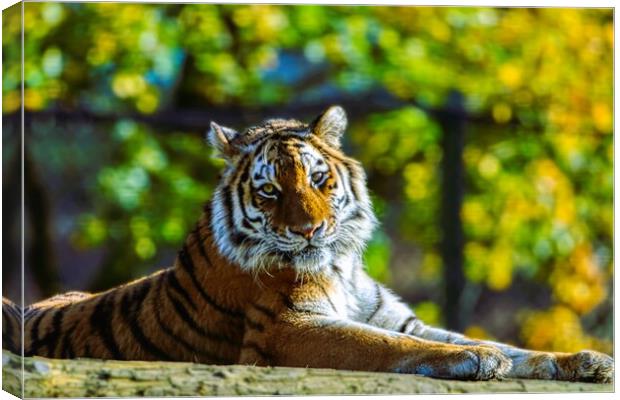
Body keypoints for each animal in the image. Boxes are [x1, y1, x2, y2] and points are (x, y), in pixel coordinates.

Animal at [1, 105, 616, 382]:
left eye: (320, 180)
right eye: (271, 191)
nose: (309, 231)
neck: (339, 265)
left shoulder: (396, 317)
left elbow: (505, 345)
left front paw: (583, 360)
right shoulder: (287, 329)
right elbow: (385, 346)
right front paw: (477, 358)